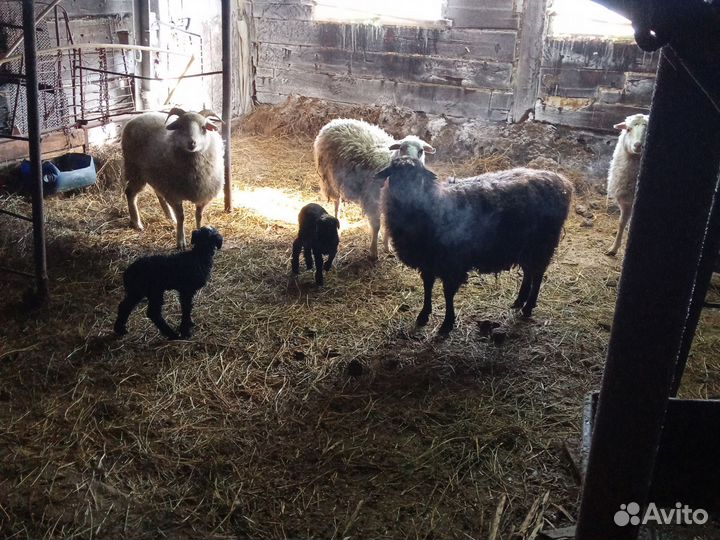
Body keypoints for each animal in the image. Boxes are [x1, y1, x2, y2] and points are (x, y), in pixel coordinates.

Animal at [121, 107, 224, 249]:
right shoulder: (174, 194)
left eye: (204, 127)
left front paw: (200, 231)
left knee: (158, 194)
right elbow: (181, 217)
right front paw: (180, 241)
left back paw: (169, 217)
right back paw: (137, 223)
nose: (192, 143)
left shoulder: (203, 195)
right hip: (135, 170)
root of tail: (135, 118)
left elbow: (199, 215)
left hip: (157, 176)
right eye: (180, 126)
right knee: (130, 193)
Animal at [314, 118, 435, 260]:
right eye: (402, 148)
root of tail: (335, 122)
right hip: (330, 178)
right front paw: (373, 252)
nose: (410, 164)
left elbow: (387, 227)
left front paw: (387, 247)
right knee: (337, 203)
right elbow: (376, 226)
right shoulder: (373, 200)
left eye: (421, 151)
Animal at [377, 157, 572, 334]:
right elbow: (428, 287)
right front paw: (424, 315)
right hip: (525, 247)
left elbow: (447, 293)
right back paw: (519, 301)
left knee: (537, 275)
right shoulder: (427, 262)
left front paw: (447, 323)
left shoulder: (451, 262)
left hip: (541, 244)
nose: (405, 193)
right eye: (393, 173)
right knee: (528, 272)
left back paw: (528, 306)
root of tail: (563, 183)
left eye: (417, 175)